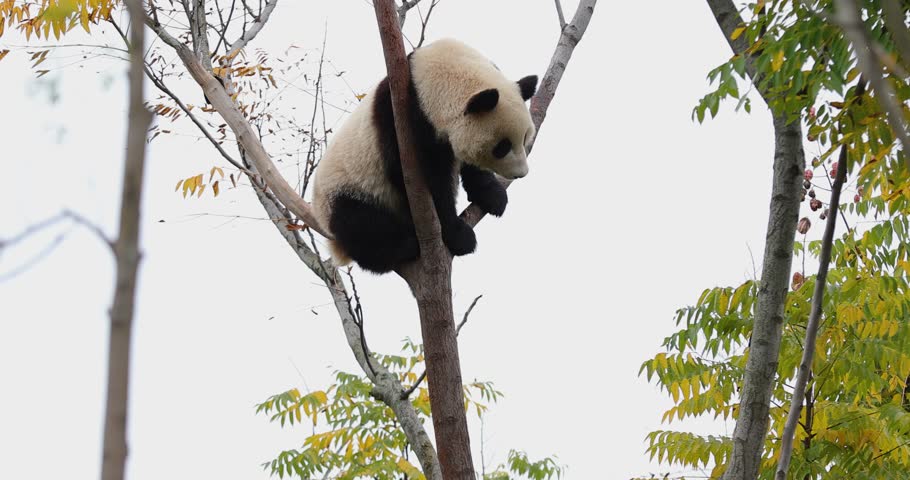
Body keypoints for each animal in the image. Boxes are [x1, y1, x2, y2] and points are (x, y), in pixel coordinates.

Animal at [311, 38, 538, 274]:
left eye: (525, 138)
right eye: (502, 147)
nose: (521, 174)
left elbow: (470, 167)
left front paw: (493, 195)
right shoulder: (401, 125)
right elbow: (424, 181)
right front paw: (458, 235)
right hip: (347, 193)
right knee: (361, 225)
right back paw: (404, 245)